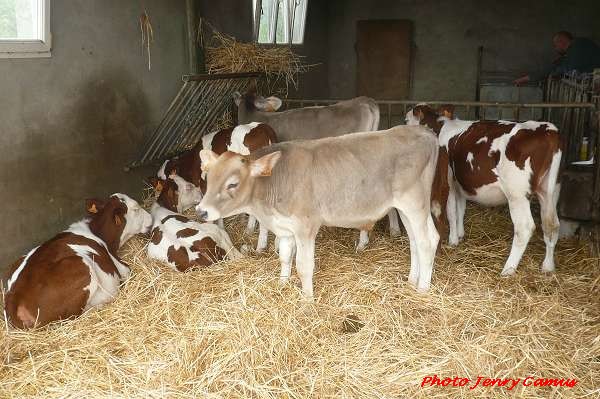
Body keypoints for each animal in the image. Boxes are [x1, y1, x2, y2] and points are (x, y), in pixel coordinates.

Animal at [4, 194, 152, 328]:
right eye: (136, 209)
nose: (151, 217)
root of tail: (14, 298)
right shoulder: (122, 268)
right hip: (83, 270)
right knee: (73, 317)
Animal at [197, 126, 440, 298]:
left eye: (232, 184)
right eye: (209, 179)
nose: (201, 211)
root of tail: (424, 132)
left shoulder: (305, 226)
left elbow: (304, 266)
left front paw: (307, 299)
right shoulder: (285, 227)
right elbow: (285, 257)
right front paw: (282, 284)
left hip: (415, 203)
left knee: (427, 241)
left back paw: (422, 291)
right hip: (405, 209)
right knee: (416, 241)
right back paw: (412, 281)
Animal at [408, 104, 564, 276]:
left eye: (406, 120)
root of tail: (548, 130)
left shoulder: (449, 182)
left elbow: (452, 212)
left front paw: (453, 240)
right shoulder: (460, 185)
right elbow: (461, 209)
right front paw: (460, 235)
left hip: (517, 194)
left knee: (524, 228)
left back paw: (508, 269)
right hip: (550, 191)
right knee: (552, 225)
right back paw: (548, 266)